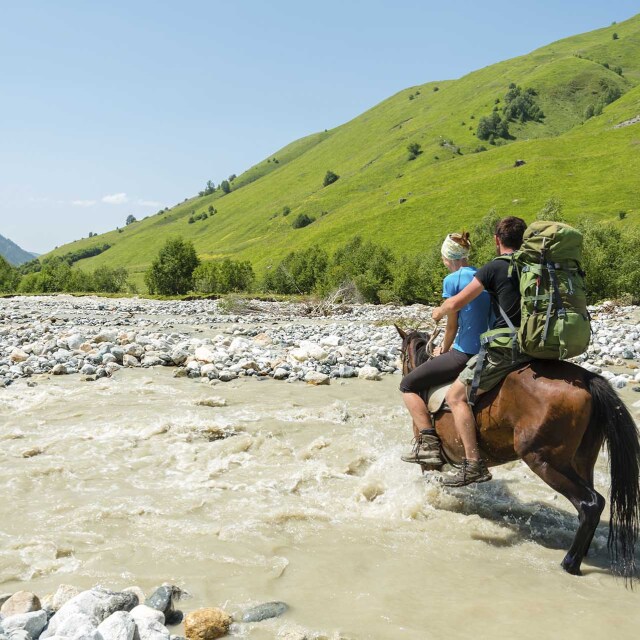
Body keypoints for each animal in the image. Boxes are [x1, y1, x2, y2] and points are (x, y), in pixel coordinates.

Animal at [397, 325, 640, 581]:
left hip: (543, 461)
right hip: (582, 462)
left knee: (590, 503)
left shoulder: (429, 463)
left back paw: (570, 563)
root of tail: (587, 378)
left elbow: (430, 483)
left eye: (401, 354)